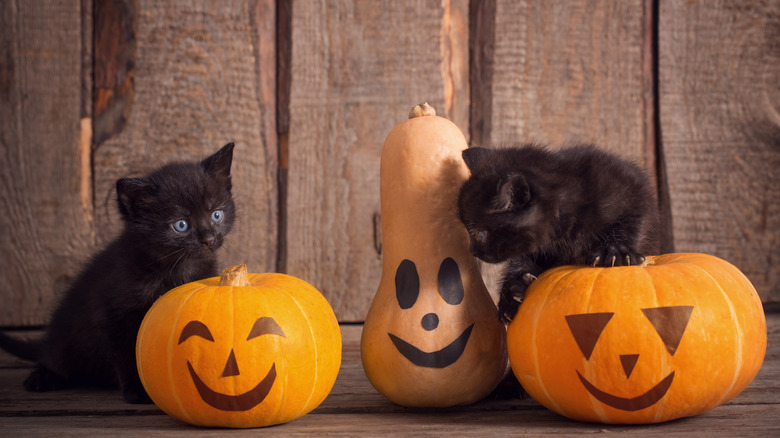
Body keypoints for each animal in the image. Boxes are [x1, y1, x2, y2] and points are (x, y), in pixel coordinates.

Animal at [0, 142, 238, 402]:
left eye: (216, 214)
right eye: (181, 225)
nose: (209, 240)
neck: (177, 267)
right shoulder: (115, 314)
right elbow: (127, 354)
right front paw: (138, 390)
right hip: (67, 339)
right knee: (55, 358)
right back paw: (42, 377)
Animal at [458, 144, 660, 322]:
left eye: (480, 234)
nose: (472, 251)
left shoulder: (633, 189)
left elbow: (633, 222)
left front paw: (618, 252)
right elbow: (520, 261)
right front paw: (512, 290)